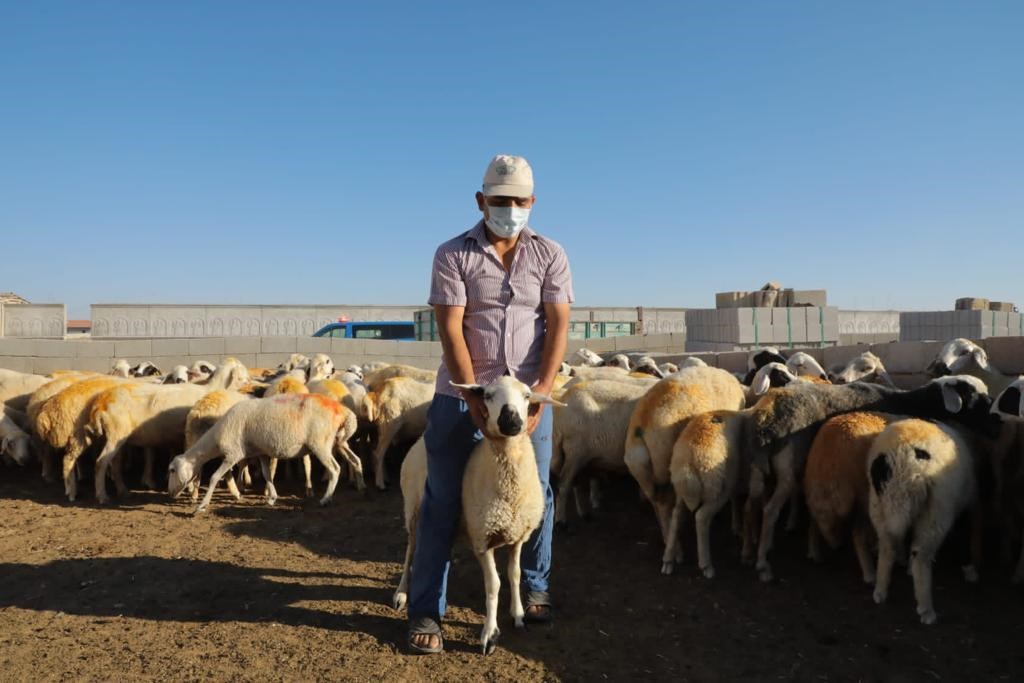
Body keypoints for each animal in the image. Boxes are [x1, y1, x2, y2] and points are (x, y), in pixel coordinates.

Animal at [165, 393, 362, 509]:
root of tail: (343, 411)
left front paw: (202, 505)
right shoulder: (259, 453)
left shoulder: (233, 454)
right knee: (356, 460)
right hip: (339, 441)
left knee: (335, 469)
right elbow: (267, 475)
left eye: (172, 470)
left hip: (320, 443)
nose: (169, 493)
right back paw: (360, 486)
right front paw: (272, 498)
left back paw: (326, 499)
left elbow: (214, 477)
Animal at [868, 417, 978, 626]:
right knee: (922, 556)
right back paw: (927, 610)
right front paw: (970, 571)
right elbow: (965, 534)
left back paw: (880, 591)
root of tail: (902, 462)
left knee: (887, 547)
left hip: (879, 505)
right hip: (936, 512)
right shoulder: (966, 505)